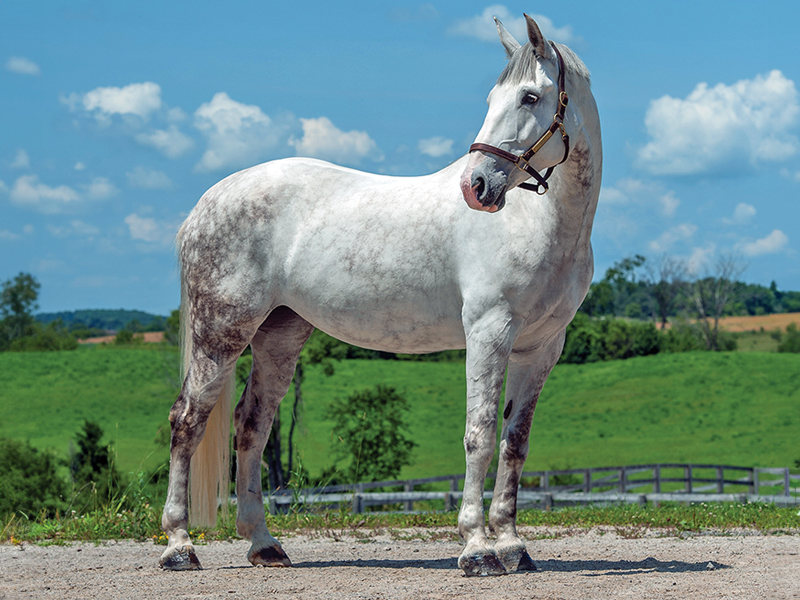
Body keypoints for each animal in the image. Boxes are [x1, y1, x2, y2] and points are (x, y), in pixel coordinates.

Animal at [160, 13, 601, 577]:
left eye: (528, 97)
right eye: (491, 98)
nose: (476, 186)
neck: (537, 223)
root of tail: (207, 203)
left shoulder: (541, 348)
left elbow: (514, 445)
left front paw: (512, 546)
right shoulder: (489, 332)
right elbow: (479, 436)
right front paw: (477, 549)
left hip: (279, 335)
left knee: (251, 426)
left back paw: (264, 544)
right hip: (220, 333)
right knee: (187, 422)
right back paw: (178, 546)